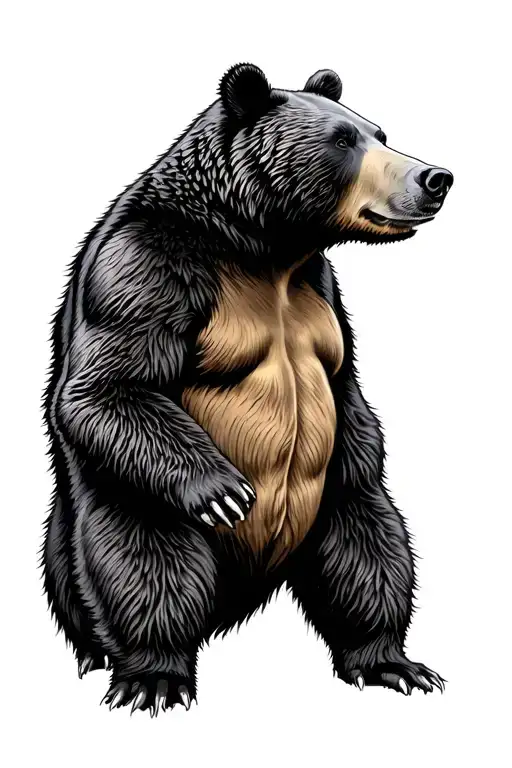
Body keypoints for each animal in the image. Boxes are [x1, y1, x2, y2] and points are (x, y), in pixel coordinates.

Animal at [43, 63, 453, 715]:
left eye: (380, 132)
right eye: (342, 140)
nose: (434, 177)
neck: (261, 247)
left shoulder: (320, 294)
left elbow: (347, 395)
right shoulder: (147, 268)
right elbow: (111, 385)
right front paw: (225, 491)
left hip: (329, 513)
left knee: (368, 547)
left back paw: (388, 659)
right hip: (121, 502)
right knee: (146, 560)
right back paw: (152, 673)